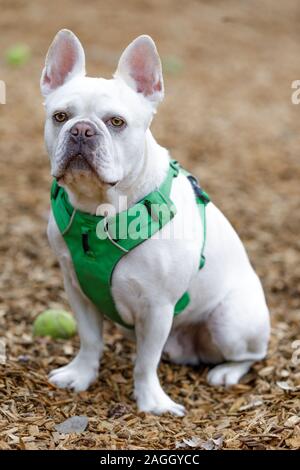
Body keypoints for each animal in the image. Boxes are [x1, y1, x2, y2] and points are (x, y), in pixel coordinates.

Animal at [40, 29, 270, 414]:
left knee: (252, 355)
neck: (99, 212)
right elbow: (90, 339)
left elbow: (146, 362)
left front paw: (151, 401)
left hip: (231, 322)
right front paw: (81, 375)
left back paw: (226, 372)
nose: (82, 130)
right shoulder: (78, 290)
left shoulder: (157, 306)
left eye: (116, 122)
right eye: (60, 116)